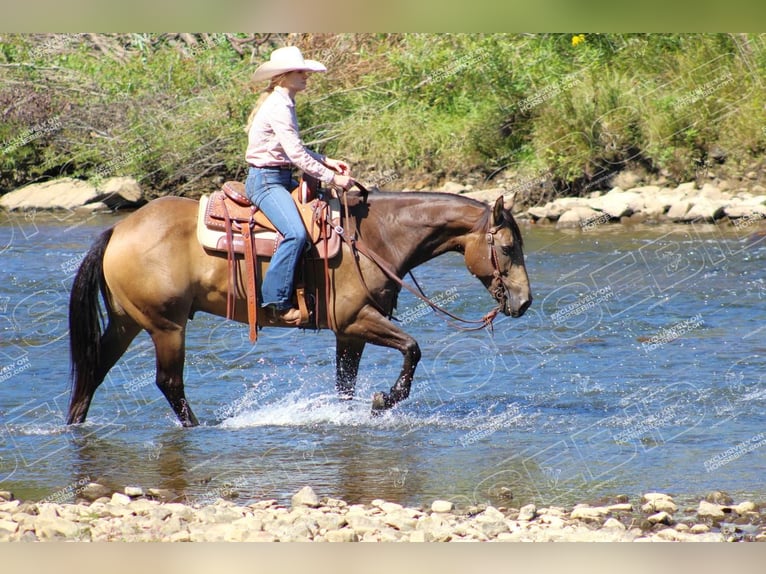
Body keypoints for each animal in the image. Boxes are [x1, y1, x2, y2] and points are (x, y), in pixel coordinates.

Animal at [66, 187, 536, 430]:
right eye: (507, 247)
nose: (525, 301)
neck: (376, 238)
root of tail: (119, 229)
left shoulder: (349, 332)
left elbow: (345, 383)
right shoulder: (357, 320)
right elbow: (413, 349)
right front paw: (384, 400)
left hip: (127, 322)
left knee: (95, 368)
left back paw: (74, 424)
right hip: (167, 326)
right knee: (169, 382)